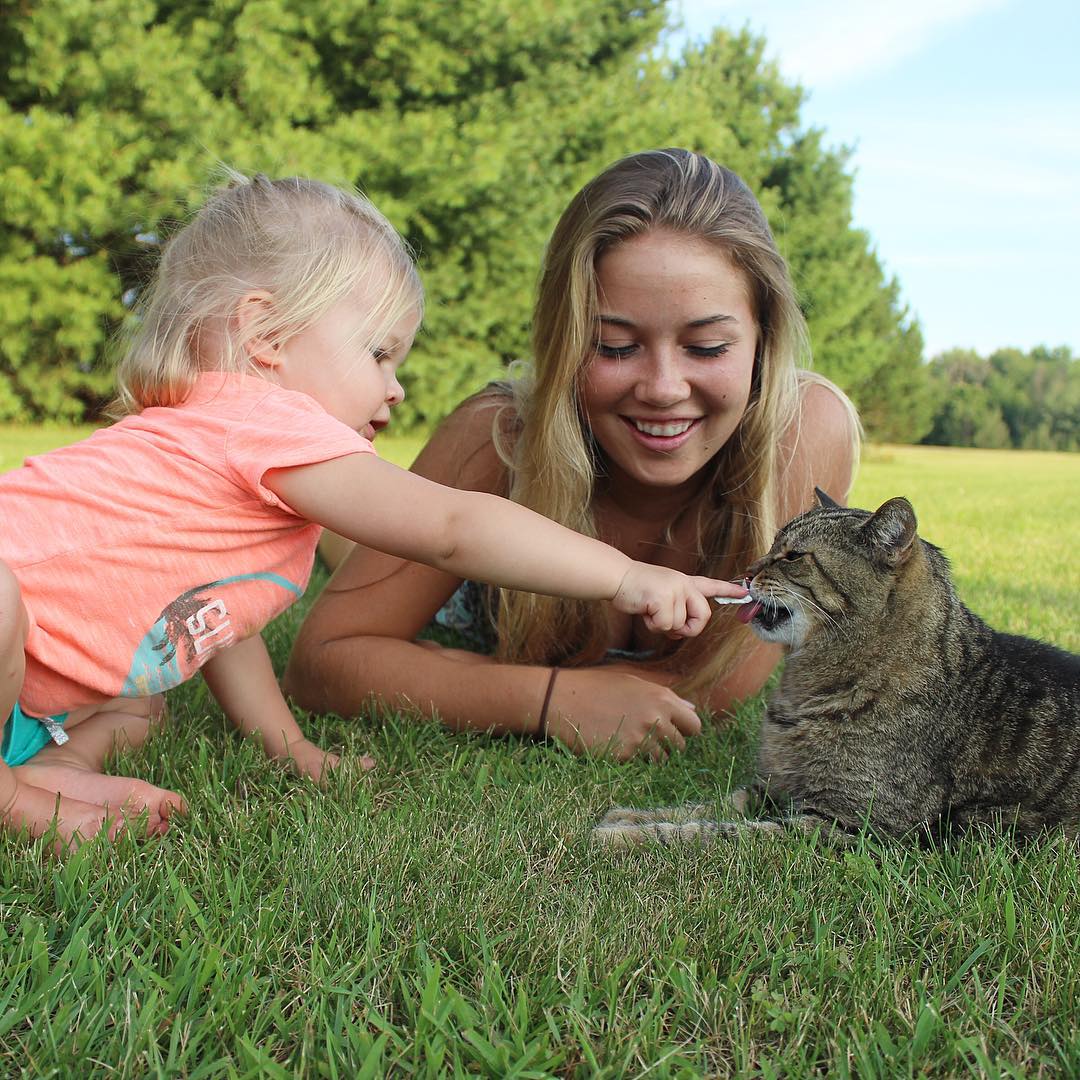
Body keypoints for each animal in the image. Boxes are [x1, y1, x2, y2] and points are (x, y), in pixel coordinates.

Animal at [596, 486, 1080, 846]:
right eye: (771, 546)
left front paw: (625, 838)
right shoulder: (771, 788)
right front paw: (630, 817)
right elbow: (711, 805)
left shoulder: (847, 826)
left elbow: (718, 834)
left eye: (793, 556)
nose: (747, 572)